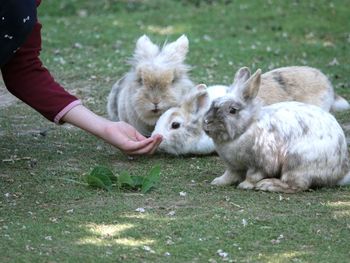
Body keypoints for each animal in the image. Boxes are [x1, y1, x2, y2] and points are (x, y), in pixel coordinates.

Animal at [202, 68, 350, 194]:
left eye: (232, 110)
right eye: (212, 104)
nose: (206, 122)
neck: (246, 128)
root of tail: (340, 172)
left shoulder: (261, 164)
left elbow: (252, 176)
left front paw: (245, 185)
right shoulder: (233, 166)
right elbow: (230, 175)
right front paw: (218, 182)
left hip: (296, 163)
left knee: (297, 185)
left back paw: (267, 185)